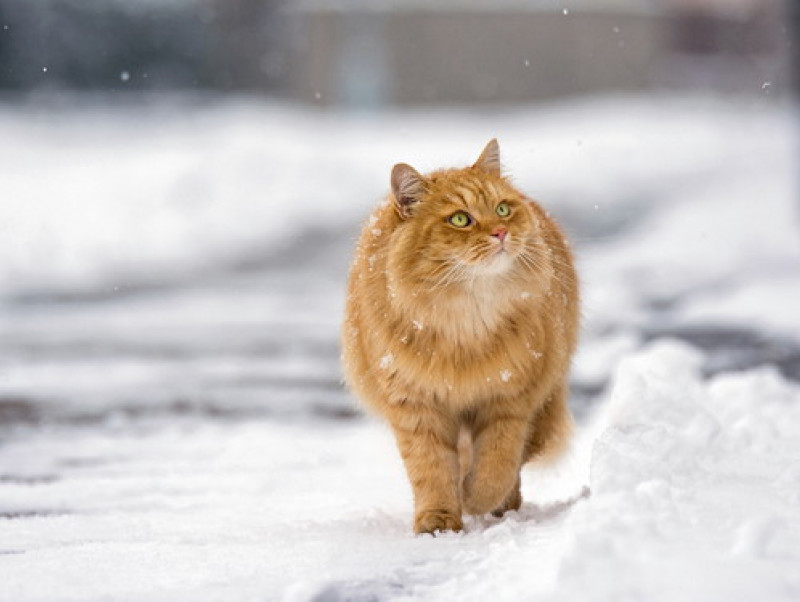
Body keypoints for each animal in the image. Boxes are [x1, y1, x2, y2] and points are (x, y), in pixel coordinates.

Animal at [340, 141, 580, 536]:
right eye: (460, 219)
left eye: (502, 209)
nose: (500, 232)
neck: (465, 321)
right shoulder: (416, 407)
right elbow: (432, 471)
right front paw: (438, 521)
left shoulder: (509, 399)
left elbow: (496, 464)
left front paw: (476, 498)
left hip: (544, 405)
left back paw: (502, 507)